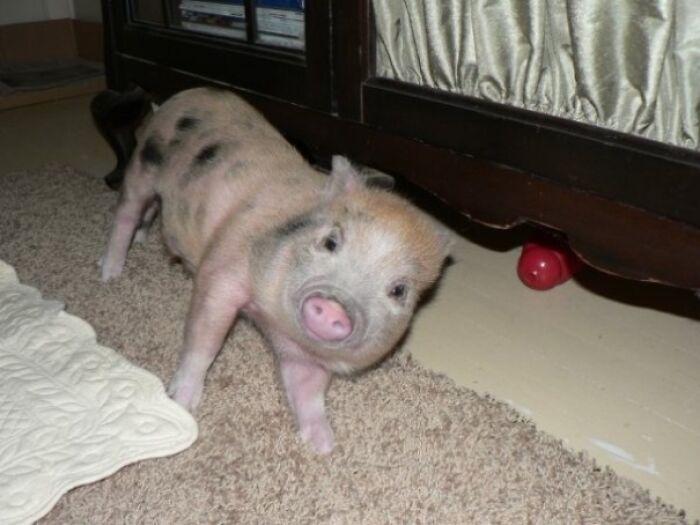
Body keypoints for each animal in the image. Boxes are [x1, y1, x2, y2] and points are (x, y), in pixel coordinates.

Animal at [101, 87, 452, 454]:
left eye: (399, 290)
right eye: (330, 242)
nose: (334, 306)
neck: (270, 319)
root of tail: (182, 97)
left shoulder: (306, 352)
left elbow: (307, 389)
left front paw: (324, 445)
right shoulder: (223, 267)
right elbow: (204, 336)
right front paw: (182, 403)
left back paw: (141, 242)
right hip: (143, 163)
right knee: (127, 211)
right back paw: (110, 273)